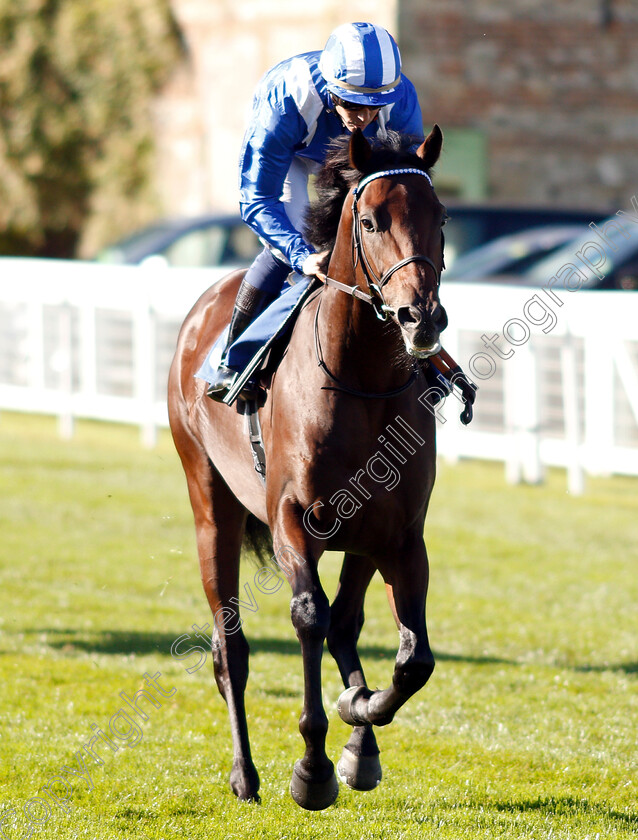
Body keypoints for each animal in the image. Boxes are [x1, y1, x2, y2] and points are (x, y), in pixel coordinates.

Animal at [168, 128, 452, 812]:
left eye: (441, 218)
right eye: (371, 221)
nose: (421, 317)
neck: (362, 381)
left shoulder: (397, 534)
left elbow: (412, 657)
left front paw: (358, 719)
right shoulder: (292, 519)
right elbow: (308, 619)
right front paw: (313, 766)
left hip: (358, 539)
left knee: (347, 626)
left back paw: (360, 744)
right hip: (210, 505)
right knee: (231, 650)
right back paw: (246, 775)